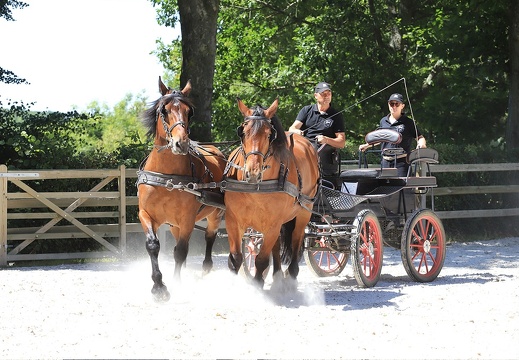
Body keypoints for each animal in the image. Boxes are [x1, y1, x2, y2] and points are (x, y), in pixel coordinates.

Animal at [138, 78, 225, 300]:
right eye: (164, 110)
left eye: (189, 112)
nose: (181, 143)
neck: (168, 178)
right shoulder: (146, 214)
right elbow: (153, 245)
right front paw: (158, 286)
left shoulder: (187, 219)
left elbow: (181, 251)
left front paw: (176, 283)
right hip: (173, 224)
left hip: (215, 214)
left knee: (210, 236)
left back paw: (206, 267)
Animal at [224, 97, 320, 288]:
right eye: (243, 133)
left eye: (269, 135)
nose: (253, 173)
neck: (254, 189)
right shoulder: (233, 221)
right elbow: (236, 259)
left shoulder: (273, 224)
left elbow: (261, 260)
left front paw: (257, 284)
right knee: (276, 246)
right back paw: (277, 276)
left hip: (304, 212)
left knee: (297, 241)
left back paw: (291, 276)